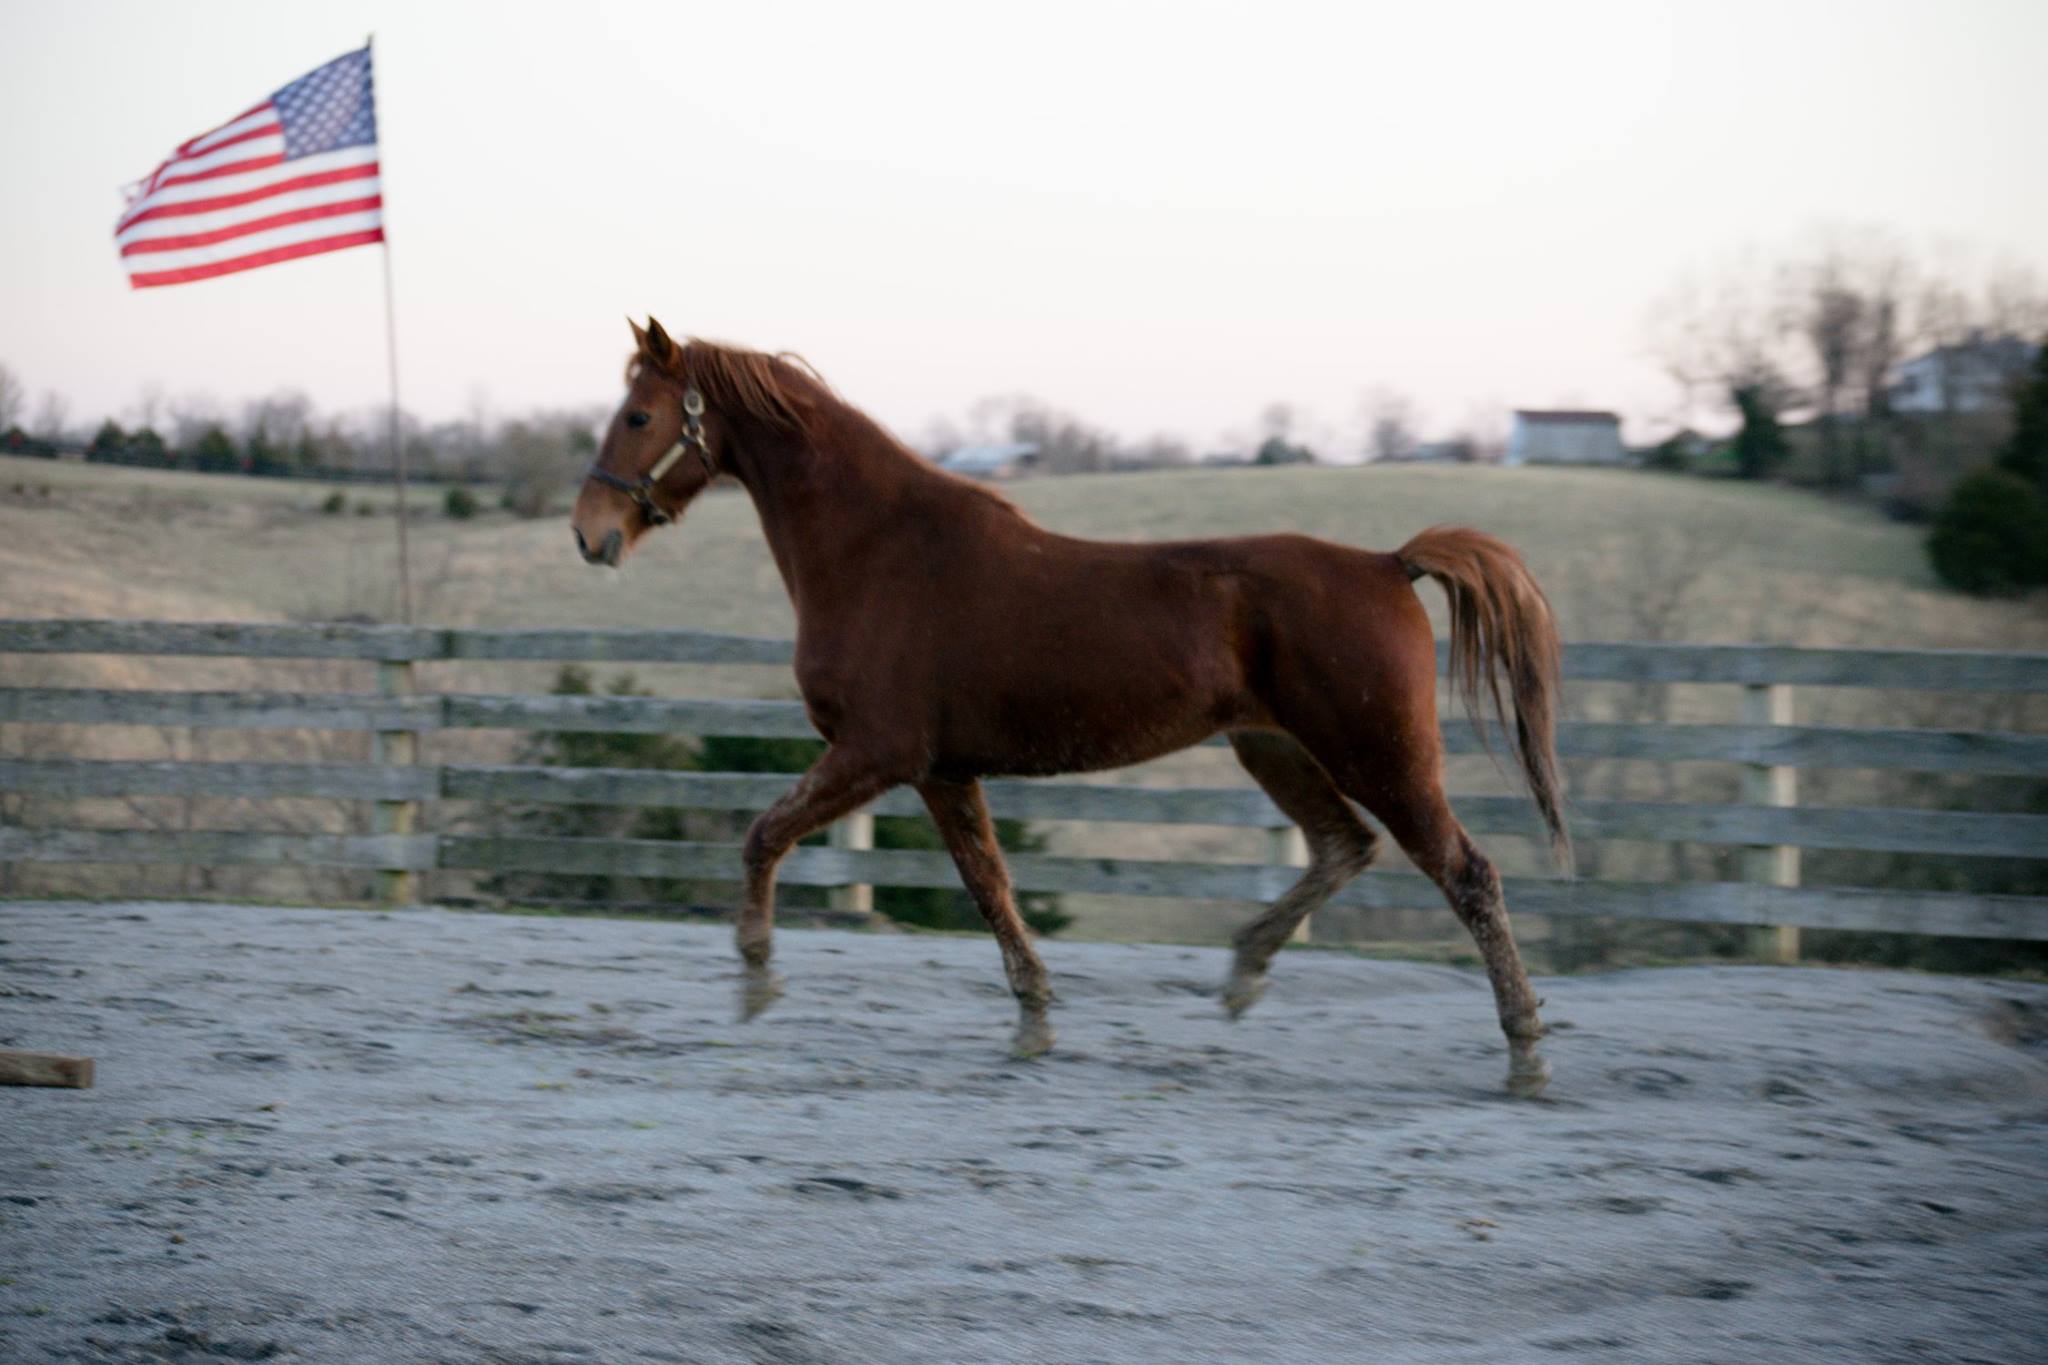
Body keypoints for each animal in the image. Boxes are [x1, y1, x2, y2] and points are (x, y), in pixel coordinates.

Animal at [569, 321, 1556, 1096]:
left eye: (640, 416)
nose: (590, 534)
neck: (878, 553)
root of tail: (1389, 564)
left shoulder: (876, 753)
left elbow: (764, 834)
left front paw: (755, 981)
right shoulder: (940, 770)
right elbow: (989, 885)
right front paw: (1035, 1020)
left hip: (1378, 754)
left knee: (1467, 873)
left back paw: (1525, 1052)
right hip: (1275, 748)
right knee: (1343, 846)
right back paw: (1242, 974)